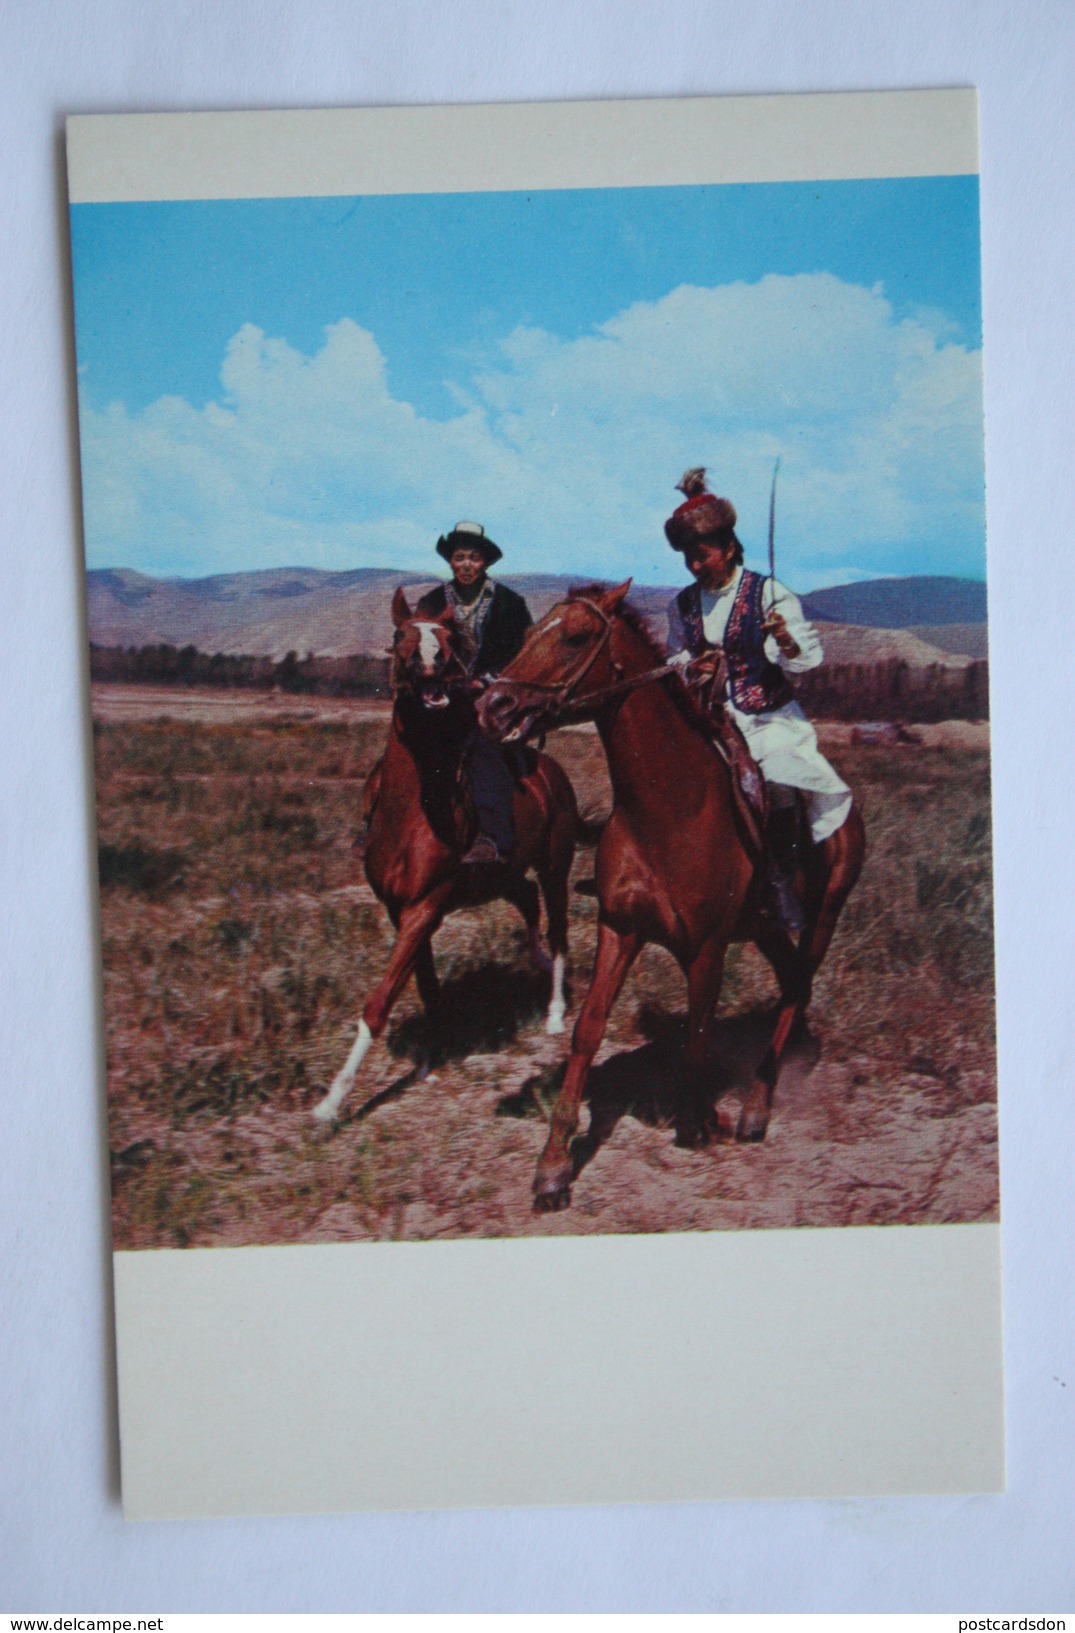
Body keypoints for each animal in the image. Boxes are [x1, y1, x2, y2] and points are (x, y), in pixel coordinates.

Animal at [312, 584, 578, 1123]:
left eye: (448, 640)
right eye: (401, 634)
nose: (430, 662)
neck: (413, 810)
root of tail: (550, 772)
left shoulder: (425, 906)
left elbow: (379, 1003)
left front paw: (332, 1101)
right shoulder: (401, 910)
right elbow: (426, 986)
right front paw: (429, 1059)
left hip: (556, 866)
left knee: (559, 929)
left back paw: (555, 1014)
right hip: (505, 874)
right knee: (527, 901)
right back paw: (536, 963)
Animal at [477, 581, 862, 1208]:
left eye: (575, 637)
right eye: (532, 631)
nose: (493, 708)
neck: (668, 807)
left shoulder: (706, 948)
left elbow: (699, 1037)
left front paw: (699, 1121)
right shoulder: (620, 928)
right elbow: (587, 1031)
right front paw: (554, 1165)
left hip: (823, 917)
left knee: (797, 990)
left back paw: (755, 1108)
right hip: (768, 929)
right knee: (789, 986)